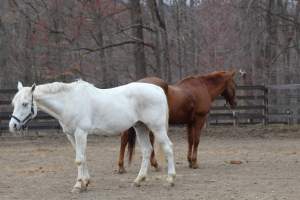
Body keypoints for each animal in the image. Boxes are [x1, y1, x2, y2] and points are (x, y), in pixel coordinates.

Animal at [8, 79, 176, 192]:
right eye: (14, 103)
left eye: (24, 104)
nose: (13, 126)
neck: (69, 101)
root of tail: (158, 90)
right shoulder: (71, 135)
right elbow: (82, 157)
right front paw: (85, 182)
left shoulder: (80, 133)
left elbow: (79, 159)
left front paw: (78, 185)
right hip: (140, 127)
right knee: (147, 150)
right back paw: (138, 180)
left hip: (157, 127)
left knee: (168, 148)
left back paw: (170, 179)